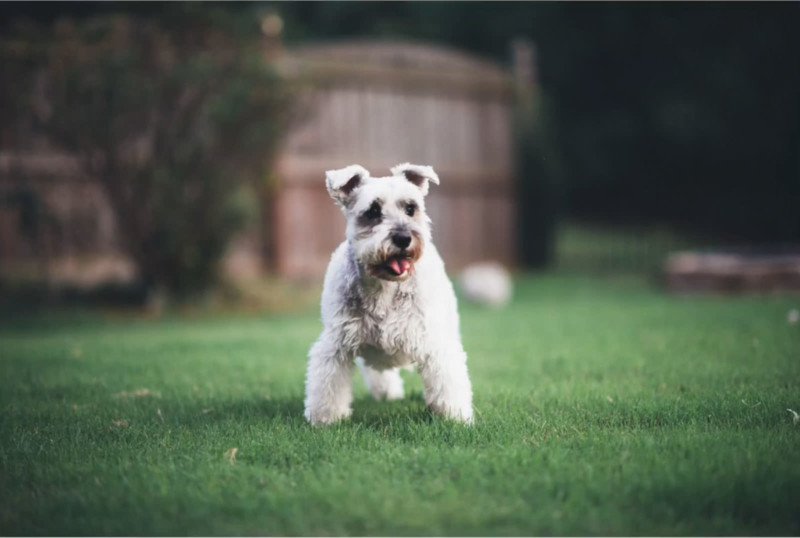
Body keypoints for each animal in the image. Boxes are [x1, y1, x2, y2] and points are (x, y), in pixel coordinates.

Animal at [304, 162, 472, 422]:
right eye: (373, 211)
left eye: (411, 208)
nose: (403, 238)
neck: (386, 287)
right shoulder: (336, 345)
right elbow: (328, 386)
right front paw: (326, 419)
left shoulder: (433, 341)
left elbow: (447, 380)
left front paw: (455, 417)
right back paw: (387, 392)